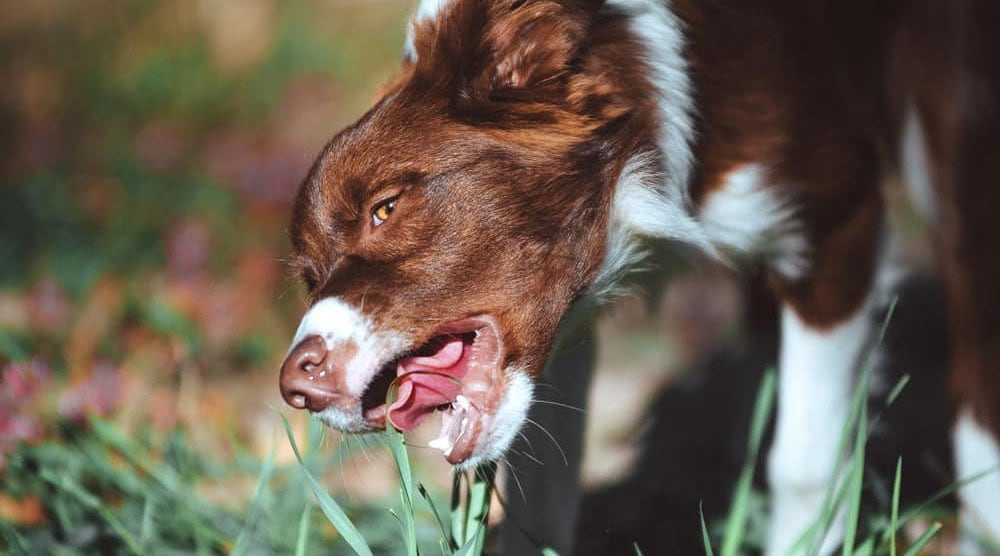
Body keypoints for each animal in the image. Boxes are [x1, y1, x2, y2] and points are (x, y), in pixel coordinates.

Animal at [278, 2, 1000, 552]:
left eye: (386, 207)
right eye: (310, 276)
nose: (295, 387)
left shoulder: (837, 224)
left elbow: (805, 460)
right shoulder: (568, 332)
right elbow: (541, 502)